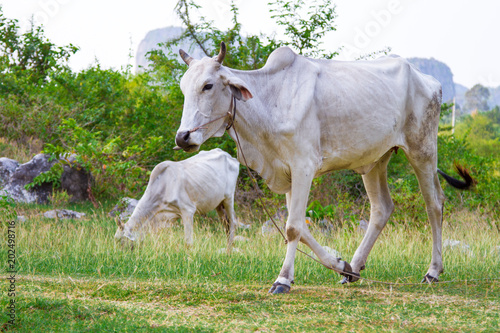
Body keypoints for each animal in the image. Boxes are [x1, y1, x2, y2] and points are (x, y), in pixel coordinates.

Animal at [174, 42, 474, 294]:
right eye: (183, 87)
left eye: (208, 85)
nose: (183, 137)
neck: (271, 100)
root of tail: (429, 80)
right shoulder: (288, 173)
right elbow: (299, 228)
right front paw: (340, 265)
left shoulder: (304, 166)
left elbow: (293, 227)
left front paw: (283, 279)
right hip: (376, 160)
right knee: (382, 208)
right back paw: (354, 269)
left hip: (423, 150)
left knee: (434, 204)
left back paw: (433, 272)